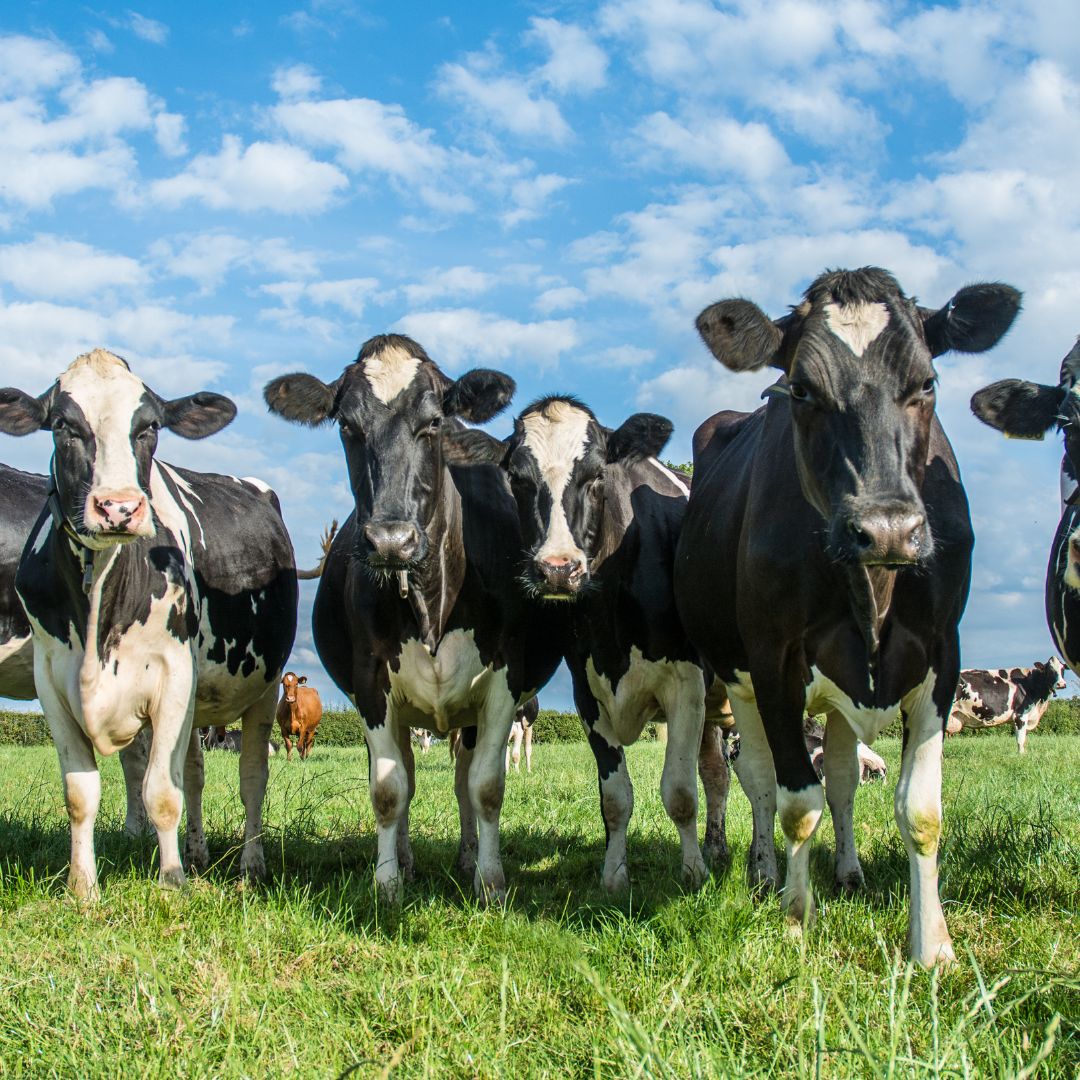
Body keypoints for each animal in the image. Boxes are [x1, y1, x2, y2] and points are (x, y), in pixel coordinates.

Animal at [0, 349, 298, 898]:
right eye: (62, 425)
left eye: (150, 426)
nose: (118, 507)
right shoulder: (50, 680)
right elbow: (80, 792)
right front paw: (84, 888)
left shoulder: (174, 675)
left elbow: (161, 791)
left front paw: (172, 882)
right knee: (196, 773)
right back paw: (199, 854)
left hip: (263, 689)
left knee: (251, 777)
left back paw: (250, 865)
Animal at [262, 330, 565, 902]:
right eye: (347, 426)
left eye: (434, 423)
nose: (390, 540)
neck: (429, 595)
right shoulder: (370, 683)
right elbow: (388, 789)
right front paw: (386, 884)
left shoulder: (503, 680)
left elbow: (486, 787)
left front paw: (490, 882)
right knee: (405, 772)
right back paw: (403, 860)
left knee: (463, 779)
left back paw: (467, 858)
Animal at [460, 397, 738, 885]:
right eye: (518, 478)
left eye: (596, 476)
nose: (557, 569)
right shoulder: (586, 691)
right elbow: (616, 798)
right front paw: (614, 876)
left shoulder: (686, 686)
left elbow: (680, 792)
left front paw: (691, 874)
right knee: (716, 772)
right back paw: (716, 847)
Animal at [673, 265, 1019, 967]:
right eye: (802, 390)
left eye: (927, 383)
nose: (886, 529)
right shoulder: (774, 663)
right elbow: (795, 803)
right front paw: (795, 922)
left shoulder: (941, 657)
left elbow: (918, 810)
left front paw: (932, 945)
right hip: (733, 679)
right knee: (755, 779)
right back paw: (764, 874)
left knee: (841, 781)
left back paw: (849, 870)